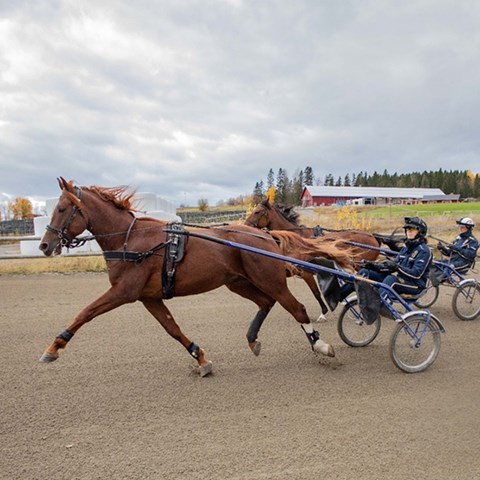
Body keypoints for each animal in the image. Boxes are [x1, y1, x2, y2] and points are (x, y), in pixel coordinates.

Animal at [38, 178, 352, 376]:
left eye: (62, 209)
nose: (44, 245)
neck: (131, 240)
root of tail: (266, 235)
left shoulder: (124, 291)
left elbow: (86, 312)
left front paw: (54, 346)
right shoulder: (149, 297)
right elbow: (172, 328)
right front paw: (200, 357)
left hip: (269, 279)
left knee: (296, 308)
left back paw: (321, 344)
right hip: (238, 282)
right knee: (266, 303)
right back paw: (253, 339)